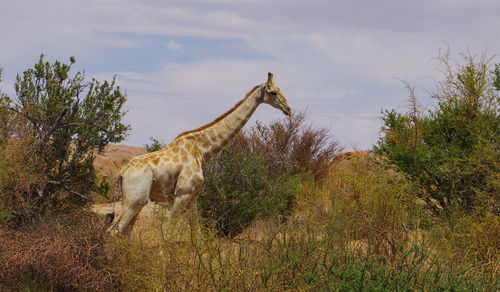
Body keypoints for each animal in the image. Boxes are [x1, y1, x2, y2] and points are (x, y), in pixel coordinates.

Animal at [107, 73, 292, 235]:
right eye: (273, 92)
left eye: (280, 89)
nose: (288, 109)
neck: (203, 151)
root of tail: (122, 173)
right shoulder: (182, 192)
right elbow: (168, 232)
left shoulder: (194, 196)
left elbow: (198, 234)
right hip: (136, 200)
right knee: (115, 231)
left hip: (134, 201)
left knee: (123, 233)